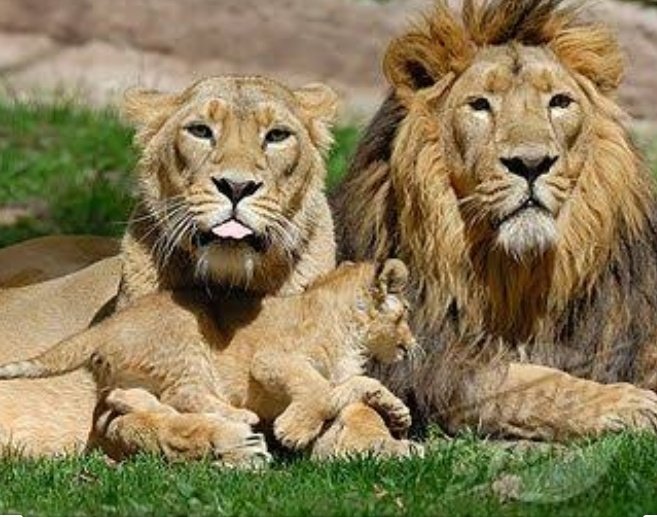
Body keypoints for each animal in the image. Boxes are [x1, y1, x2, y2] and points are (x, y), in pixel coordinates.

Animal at [0, 259, 421, 458]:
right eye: (405, 314)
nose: (413, 343)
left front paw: (397, 412)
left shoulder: (341, 375)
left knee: (134, 403)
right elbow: (316, 387)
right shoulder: (271, 359)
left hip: (132, 377)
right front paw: (294, 430)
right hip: (189, 338)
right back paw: (241, 417)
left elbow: (358, 384)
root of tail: (104, 327)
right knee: (183, 394)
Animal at [332, 0, 657, 441]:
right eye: (480, 105)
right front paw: (628, 403)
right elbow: (529, 382)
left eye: (559, 102)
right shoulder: (433, 365)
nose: (531, 163)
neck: (514, 276)